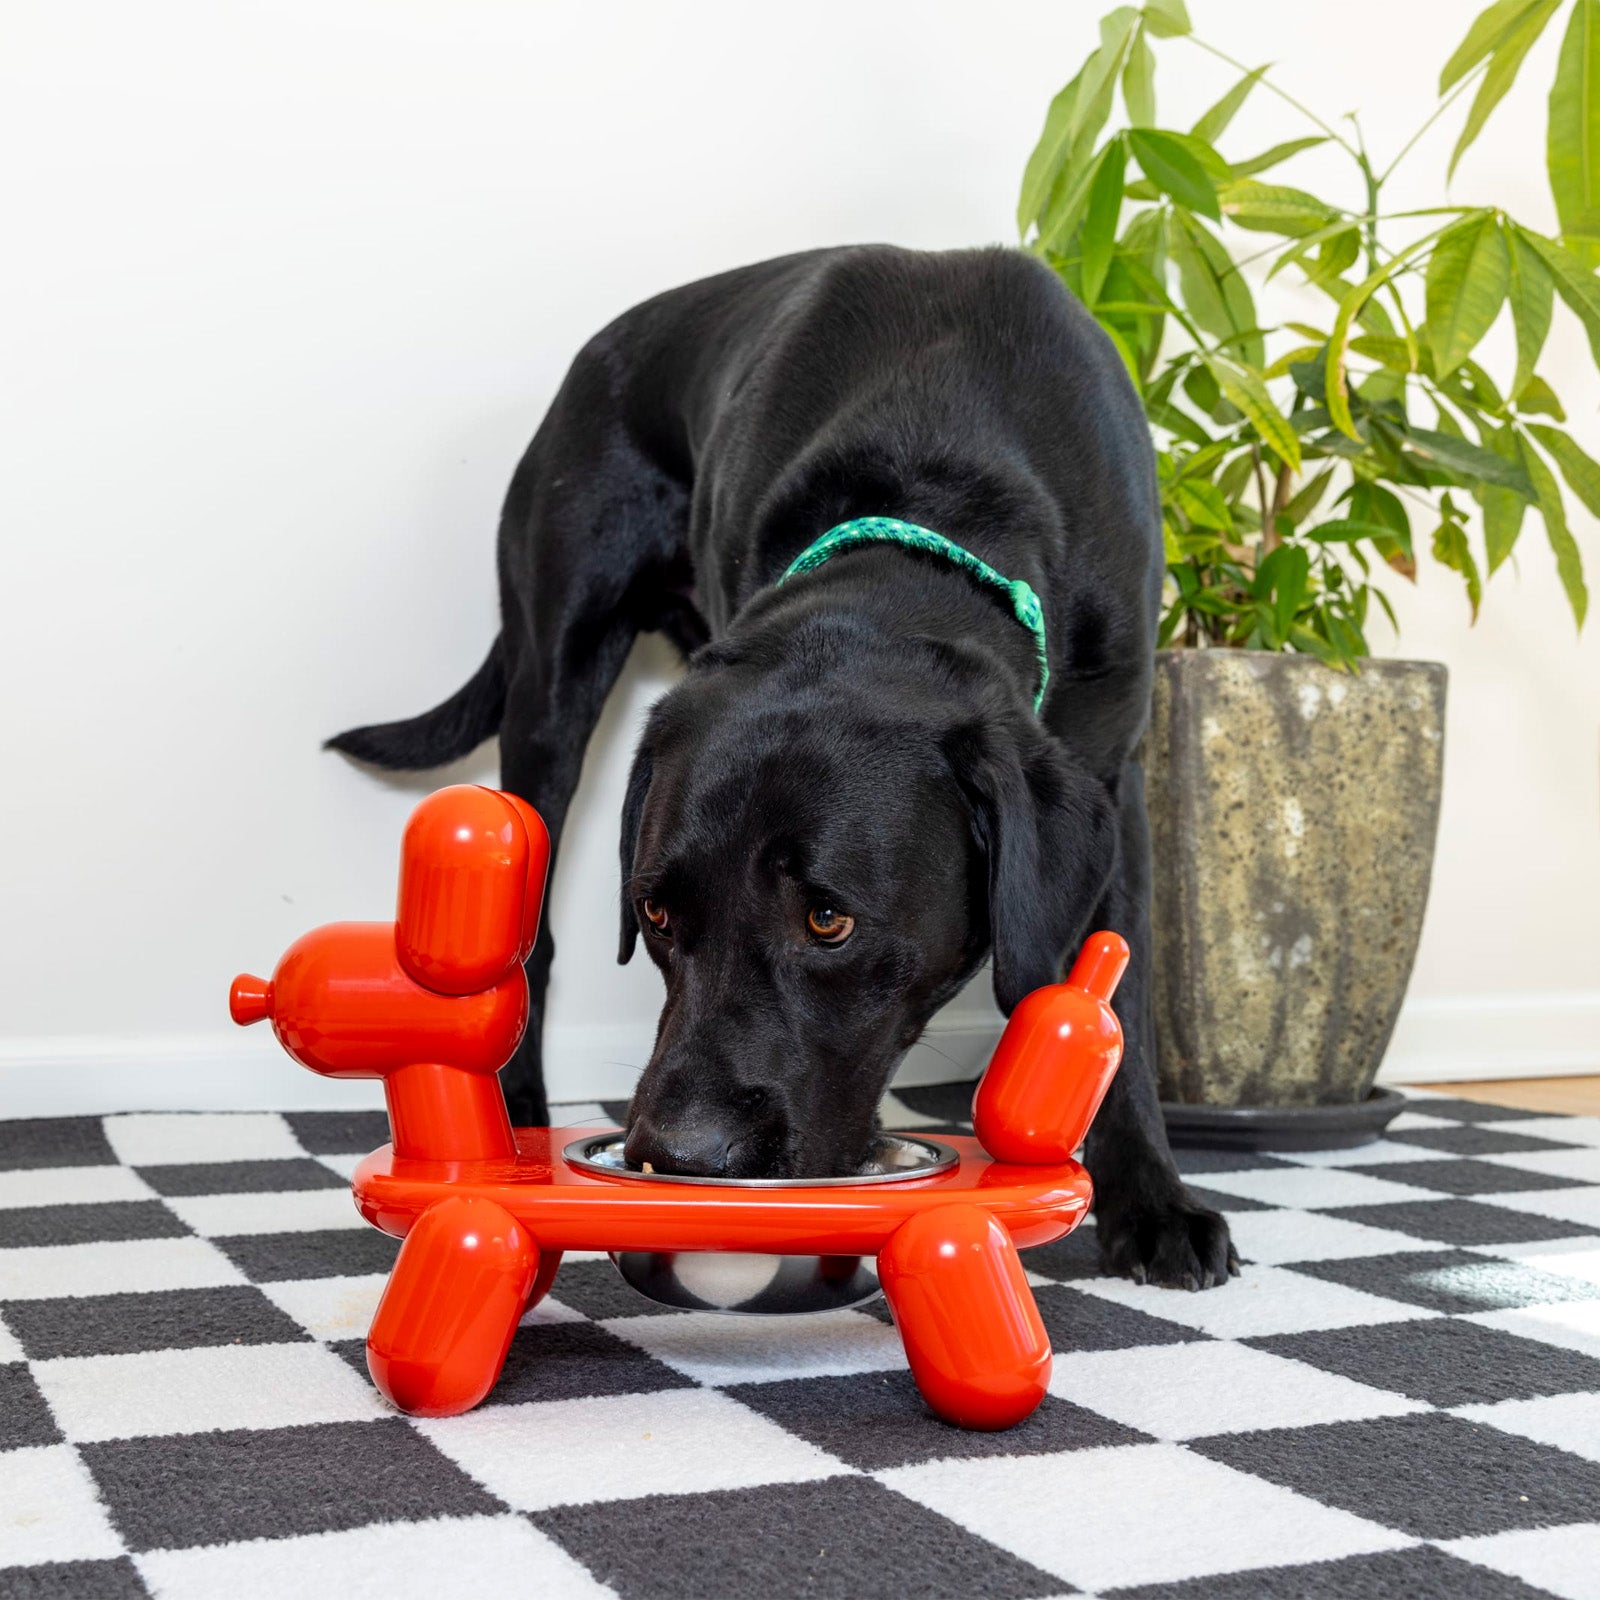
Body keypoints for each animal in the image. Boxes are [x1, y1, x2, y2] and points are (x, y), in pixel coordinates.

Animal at [334, 243, 1235, 1286]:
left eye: (829, 920)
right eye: (656, 915)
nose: (681, 1155)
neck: (939, 491)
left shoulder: (1114, 771)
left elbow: (1118, 995)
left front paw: (1155, 1207)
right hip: (552, 673)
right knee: (531, 935)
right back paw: (515, 1124)